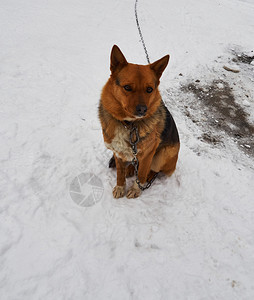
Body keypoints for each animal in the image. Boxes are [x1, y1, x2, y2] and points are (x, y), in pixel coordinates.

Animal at [98, 44, 180, 198]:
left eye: (149, 89)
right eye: (127, 87)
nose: (143, 110)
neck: (129, 125)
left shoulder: (149, 153)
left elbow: (141, 173)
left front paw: (136, 189)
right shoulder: (117, 151)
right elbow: (120, 173)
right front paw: (120, 187)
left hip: (162, 155)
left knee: (154, 170)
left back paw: (147, 177)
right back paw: (130, 168)